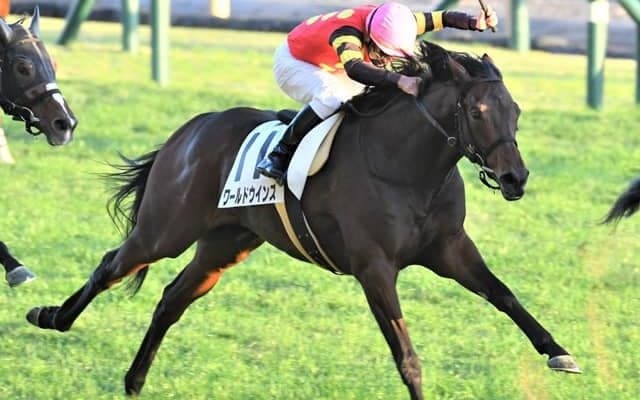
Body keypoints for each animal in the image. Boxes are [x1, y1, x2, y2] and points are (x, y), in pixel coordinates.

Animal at [26, 41, 579, 399]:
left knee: (170, 300)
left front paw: (559, 352)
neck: (407, 167)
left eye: (516, 110)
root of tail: (189, 131)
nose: (515, 178)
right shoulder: (374, 267)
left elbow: (505, 296)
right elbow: (406, 354)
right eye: (479, 112)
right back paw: (51, 317)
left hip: (224, 244)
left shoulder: (451, 249)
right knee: (111, 265)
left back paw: (134, 381)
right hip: (166, 229)